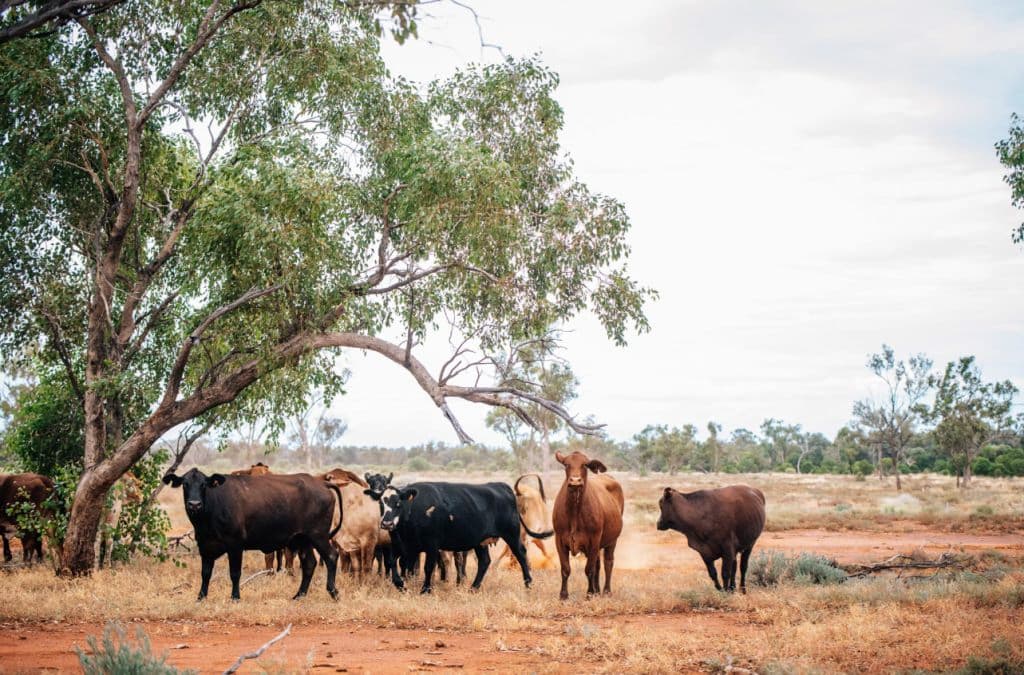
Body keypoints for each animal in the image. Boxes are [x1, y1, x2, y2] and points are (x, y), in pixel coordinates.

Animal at [162, 468, 342, 601]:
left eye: (203, 484)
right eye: (185, 484)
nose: (194, 504)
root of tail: (321, 483)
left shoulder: (235, 545)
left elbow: (235, 573)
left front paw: (235, 597)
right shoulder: (205, 546)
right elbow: (205, 573)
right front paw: (201, 597)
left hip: (318, 536)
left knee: (331, 556)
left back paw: (333, 592)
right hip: (302, 539)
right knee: (309, 564)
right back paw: (299, 595)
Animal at [368, 479, 552, 594]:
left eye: (398, 503)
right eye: (381, 503)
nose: (386, 523)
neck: (416, 508)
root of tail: (502, 486)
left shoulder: (432, 545)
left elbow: (428, 567)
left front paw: (425, 589)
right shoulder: (404, 546)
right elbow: (394, 563)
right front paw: (401, 585)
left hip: (511, 534)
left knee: (521, 555)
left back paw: (528, 584)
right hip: (480, 543)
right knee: (485, 562)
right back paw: (473, 588)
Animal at [552, 451, 624, 600]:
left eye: (585, 465)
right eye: (566, 464)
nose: (575, 481)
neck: (574, 511)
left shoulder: (594, 540)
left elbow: (589, 569)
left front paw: (589, 593)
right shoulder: (559, 540)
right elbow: (565, 569)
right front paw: (563, 595)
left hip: (612, 541)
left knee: (608, 563)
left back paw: (606, 591)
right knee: (598, 564)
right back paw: (597, 590)